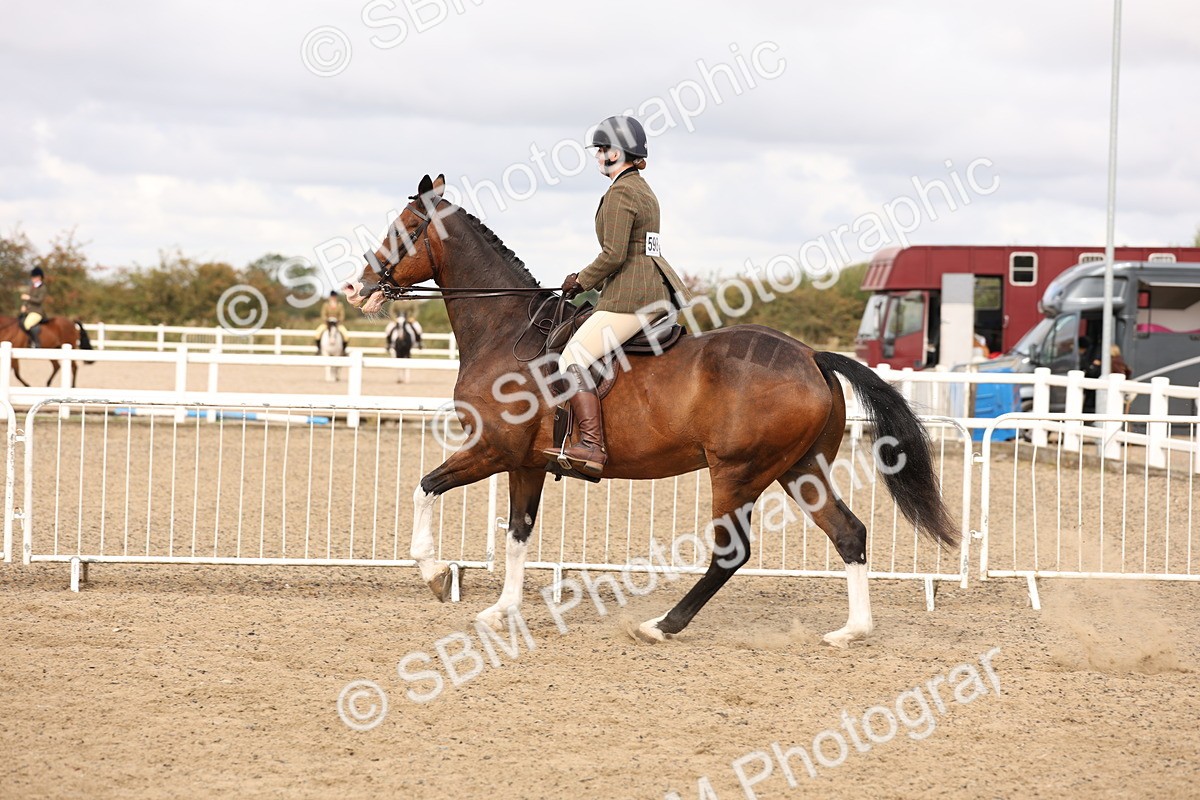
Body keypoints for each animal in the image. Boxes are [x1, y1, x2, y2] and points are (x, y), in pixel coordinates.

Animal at [345, 174, 957, 648]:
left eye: (401, 231)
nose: (353, 286)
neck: (505, 331)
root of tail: (810, 355)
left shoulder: (493, 449)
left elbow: (425, 487)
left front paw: (432, 573)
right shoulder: (526, 463)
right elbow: (518, 534)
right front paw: (503, 610)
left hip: (737, 472)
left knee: (731, 554)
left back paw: (661, 626)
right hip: (799, 468)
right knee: (848, 532)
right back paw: (852, 631)